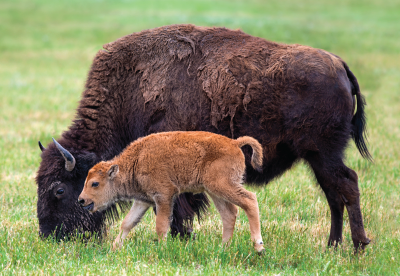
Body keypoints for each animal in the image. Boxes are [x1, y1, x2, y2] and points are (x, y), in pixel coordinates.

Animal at [78, 132, 266, 252]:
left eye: (95, 183)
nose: (81, 200)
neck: (137, 160)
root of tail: (234, 143)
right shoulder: (143, 200)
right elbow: (128, 223)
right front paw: (114, 248)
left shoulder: (164, 196)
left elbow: (161, 225)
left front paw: (162, 249)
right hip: (215, 192)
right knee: (229, 214)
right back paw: (223, 249)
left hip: (224, 186)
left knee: (250, 200)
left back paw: (259, 247)